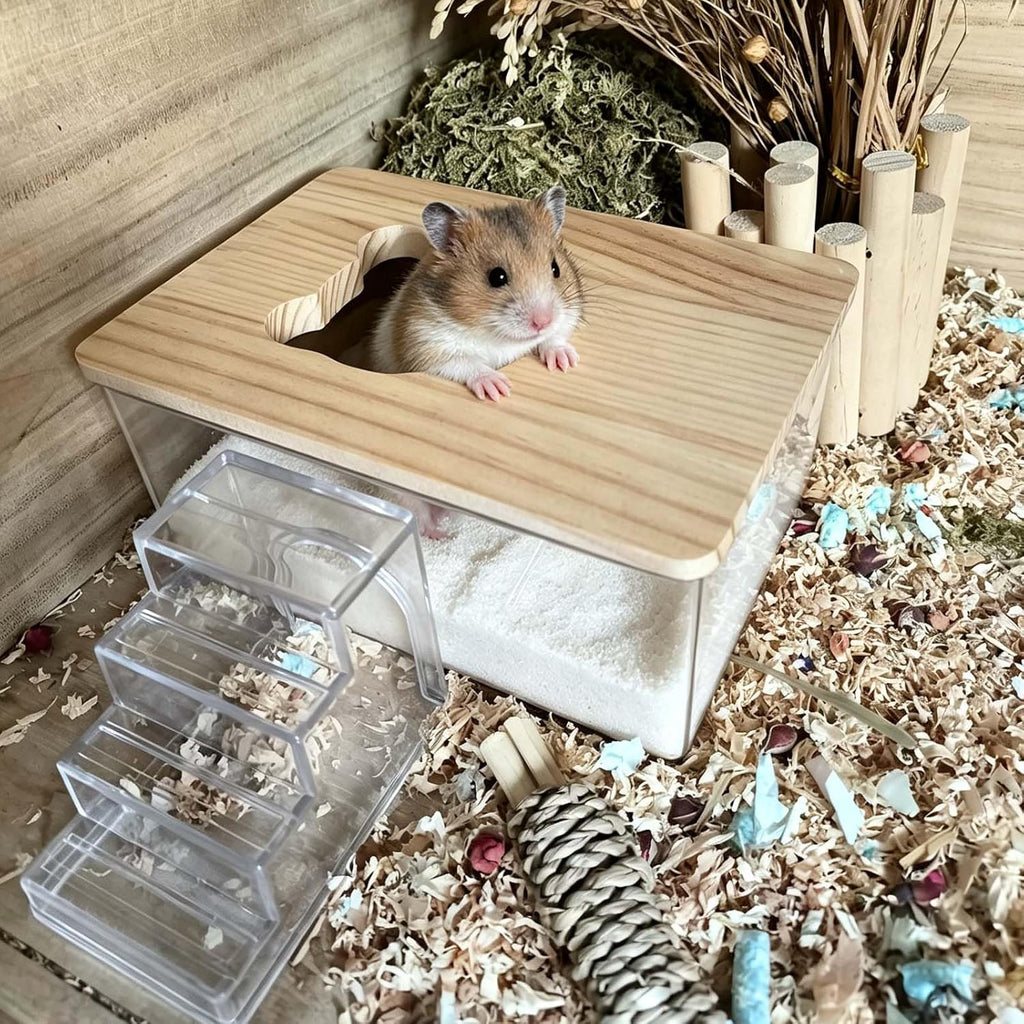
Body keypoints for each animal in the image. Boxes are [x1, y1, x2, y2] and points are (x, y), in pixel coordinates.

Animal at [368, 185, 584, 402]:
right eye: (497, 276)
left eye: (555, 269)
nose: (543, 322)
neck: (498, 335)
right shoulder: (425, 346)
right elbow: (465, 364)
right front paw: (498, 389)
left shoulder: (568, 315)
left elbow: (555, 335)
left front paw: (566, 361)